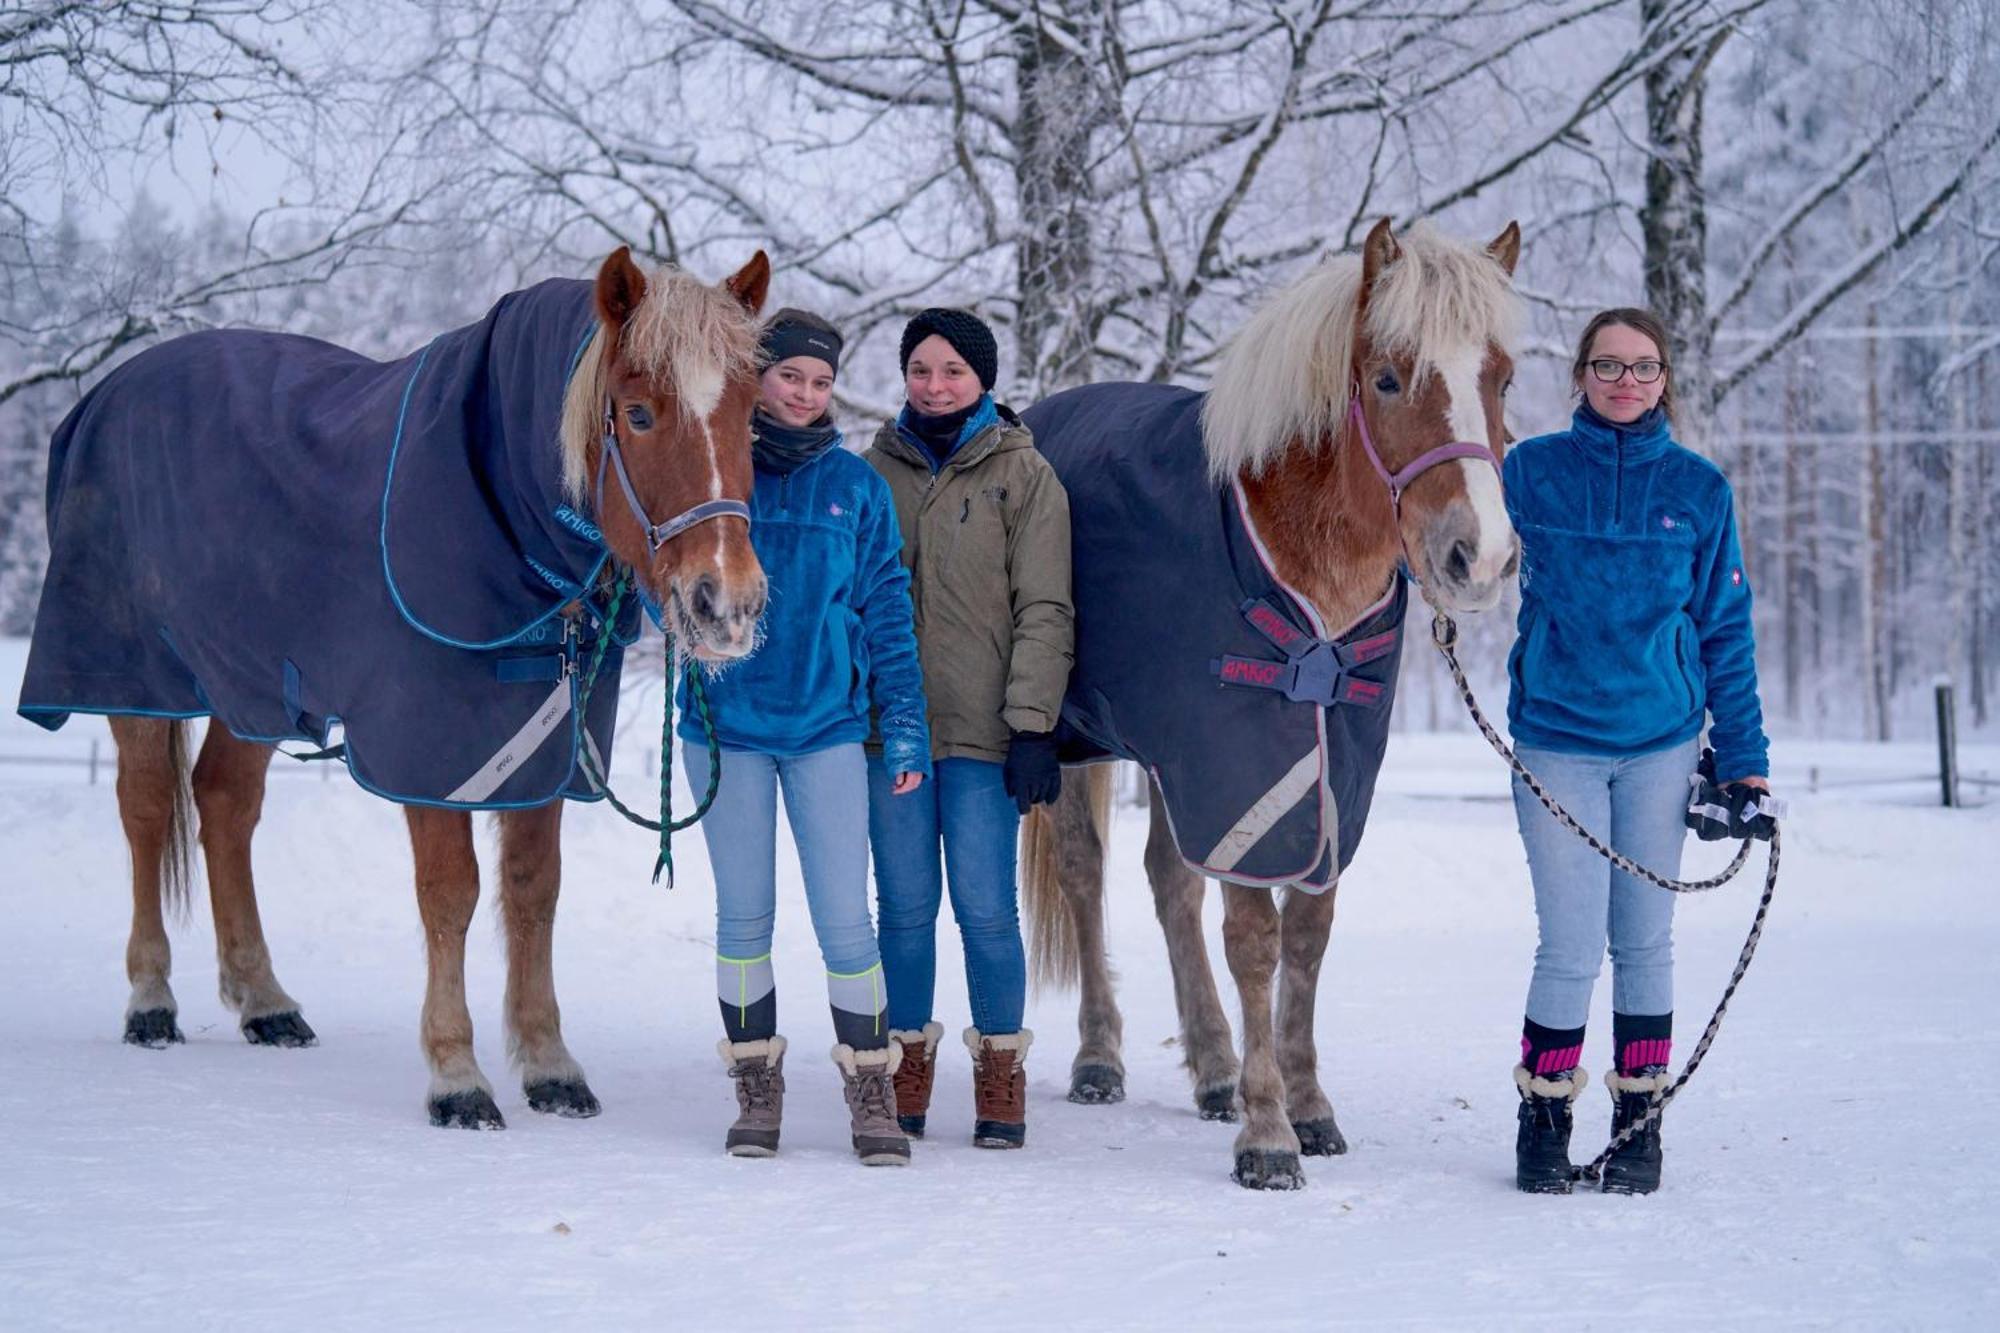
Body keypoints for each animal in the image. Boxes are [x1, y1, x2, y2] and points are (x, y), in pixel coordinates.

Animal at [19, 246, 776, 1120]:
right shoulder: (433, 749)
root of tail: (100, 397)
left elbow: (533, 890)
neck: (505, 509)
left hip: (254, 683)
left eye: (750, 415)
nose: (727, 602)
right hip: (136, 673)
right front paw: (457, 1073)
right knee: (144, 810)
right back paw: (150, 998)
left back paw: (264, 999)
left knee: (225, 804)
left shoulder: (546, 739)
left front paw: (549, 1062)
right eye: (641, 413)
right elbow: (450, 893)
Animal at [1024, 215, 1520, 1184]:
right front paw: (1267, 1131)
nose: (1477, 558)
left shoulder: (1326, 773)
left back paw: (1213, 1064)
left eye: (1502, 376)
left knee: (1169, 882)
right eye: (1388, 377)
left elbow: (1309, 935)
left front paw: (1308, 1103)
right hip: (1079, 739)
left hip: (1167, 755)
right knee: (1086, 872)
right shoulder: (1243, 769)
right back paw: (1100, 1057)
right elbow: (1254, 939)